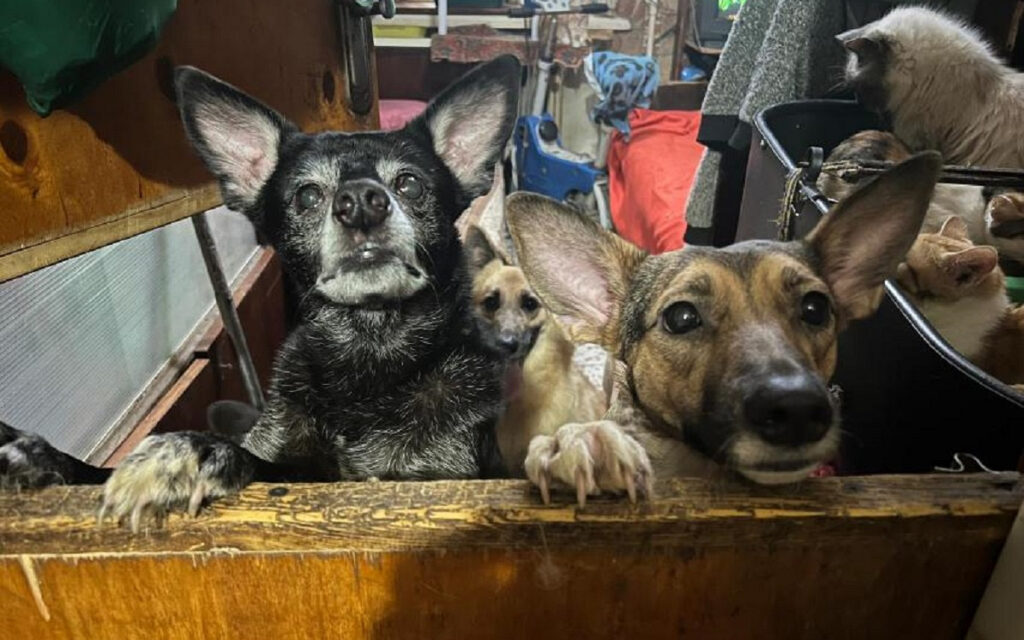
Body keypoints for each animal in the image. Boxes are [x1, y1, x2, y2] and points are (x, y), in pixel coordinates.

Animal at [0, 56, 520, 528]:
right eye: (308, 195)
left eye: (409, 183)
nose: (360, 202)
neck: (369, 358)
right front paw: (42, 458)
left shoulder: (437, 475)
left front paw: (192, 453)